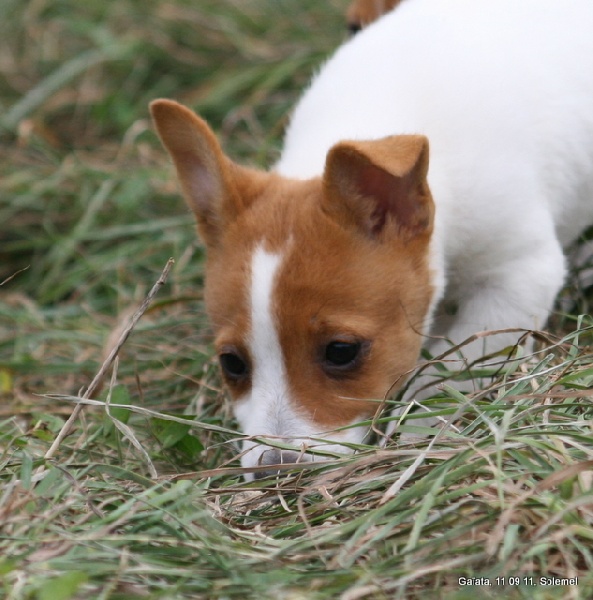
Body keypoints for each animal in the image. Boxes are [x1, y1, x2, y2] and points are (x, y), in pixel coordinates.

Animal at [150, 0, 592, 478]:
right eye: (231, 363)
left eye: (341, 351)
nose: (275, 471)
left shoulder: (518, 275)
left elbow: (452, 364)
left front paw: (418, 427)